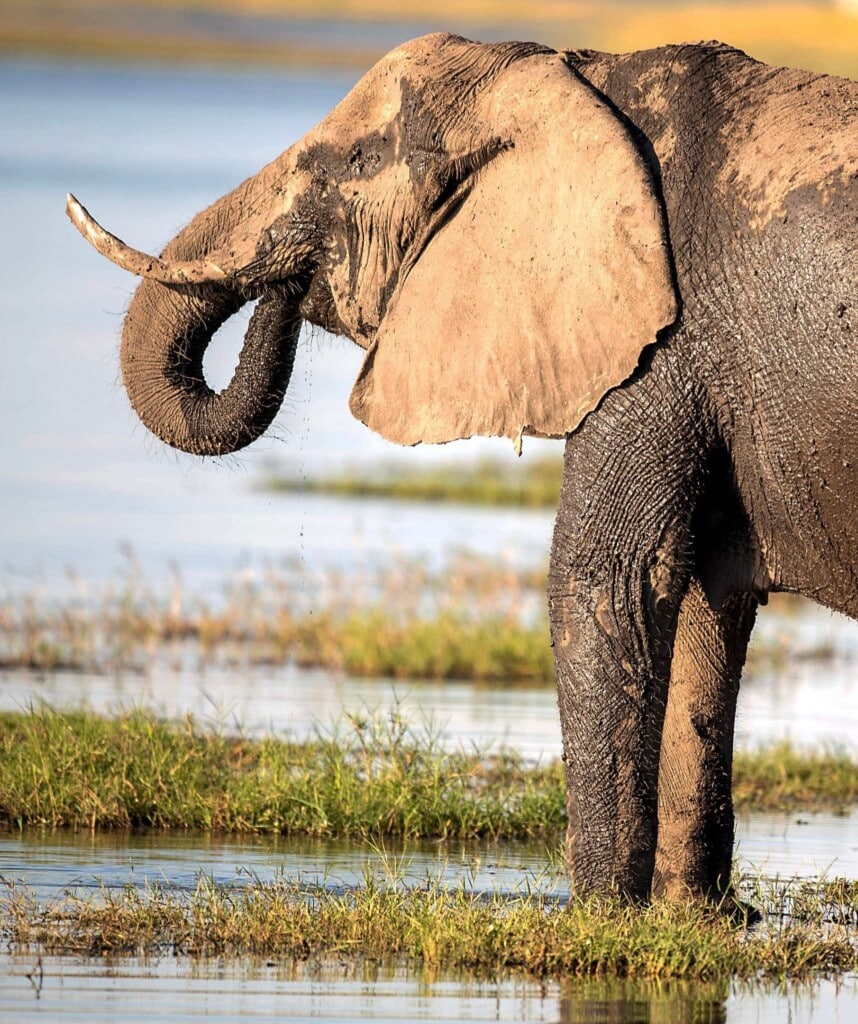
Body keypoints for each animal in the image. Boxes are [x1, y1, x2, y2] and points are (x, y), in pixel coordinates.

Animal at [67, 33, 857, 902]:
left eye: (357, 158)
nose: (287, 285)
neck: (576, 77)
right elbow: (703, 598)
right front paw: (693, 918)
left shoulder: (659, 341)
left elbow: (607, 578)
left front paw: (601, 915)